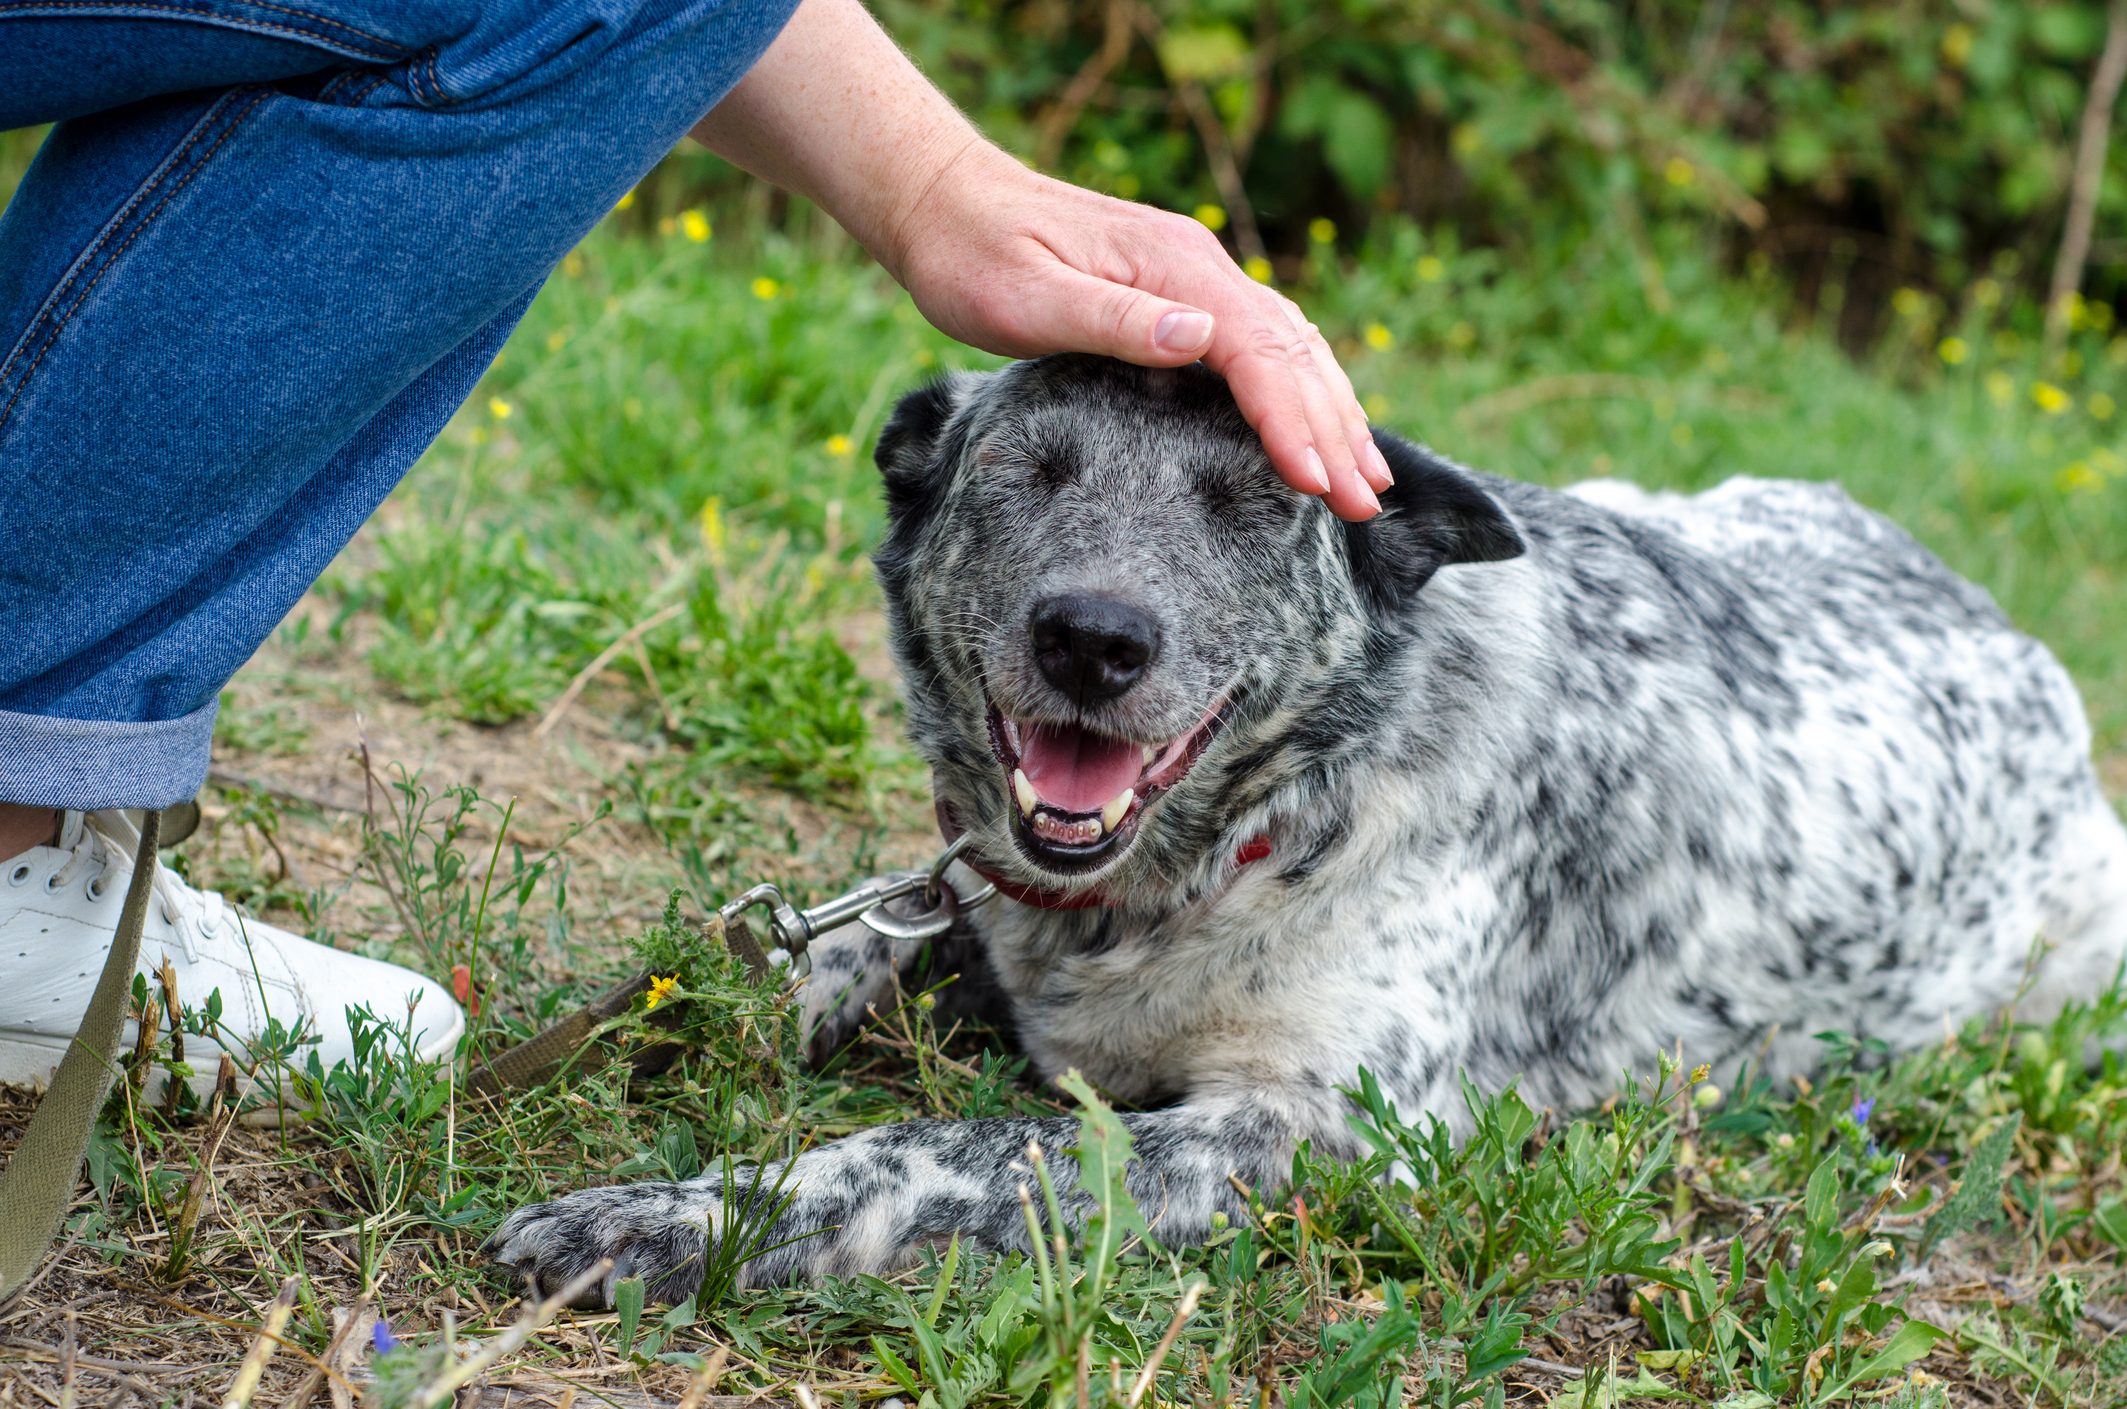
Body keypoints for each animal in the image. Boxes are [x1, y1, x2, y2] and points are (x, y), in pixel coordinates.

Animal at [489, 355, 2127, 1311]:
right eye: (1025, 470)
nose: (1094, 639)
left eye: (1248, 504)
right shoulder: (971, 895)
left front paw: (673, 1215)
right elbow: (789, 963)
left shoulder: (1315, 1124)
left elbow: (930, 1150)